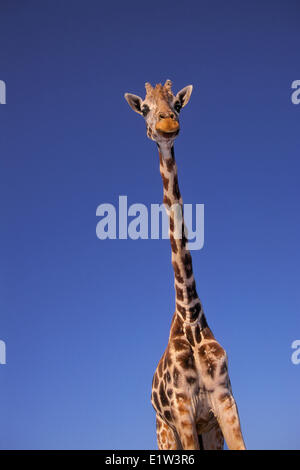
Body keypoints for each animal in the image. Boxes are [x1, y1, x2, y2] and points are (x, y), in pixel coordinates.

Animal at [124, 81, 246, 452]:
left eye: (177, 104)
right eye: (145, 108)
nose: (167, 124)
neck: (190, 320)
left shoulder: (224, 401)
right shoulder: (182, 409)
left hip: (209, 433)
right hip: (165, 433)